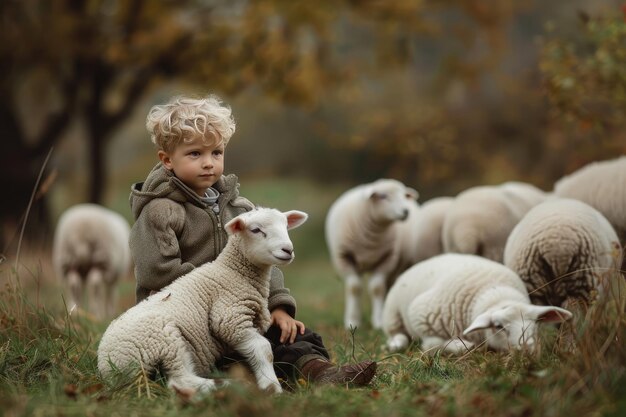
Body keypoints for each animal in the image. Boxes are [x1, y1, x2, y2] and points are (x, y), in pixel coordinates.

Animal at [97, 208, 308, 394]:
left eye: (285, 226)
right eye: (256, 230)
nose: (288, 250)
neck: (234, 272)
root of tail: (106, 367)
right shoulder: (229, 319)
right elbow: (264, 349)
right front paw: (271, 387)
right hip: (163, 340)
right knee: (180, 381)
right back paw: (228, 386)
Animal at [324, 178, 416, 328]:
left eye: (403, 195)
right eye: (383, 196)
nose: (406, 211)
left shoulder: (388, 258)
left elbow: (377, 288)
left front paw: (378, 321)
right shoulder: (344, 257)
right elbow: (354, 288)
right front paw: (352, 320)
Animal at [380, 252, 572, 352]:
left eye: (536, 324)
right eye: (499, 326)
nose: (527, 348)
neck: (496, 292)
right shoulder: (420, 315)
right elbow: (433, 344)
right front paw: (462, 345)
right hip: (392, 314)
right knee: (396, 333)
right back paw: (396, 343)